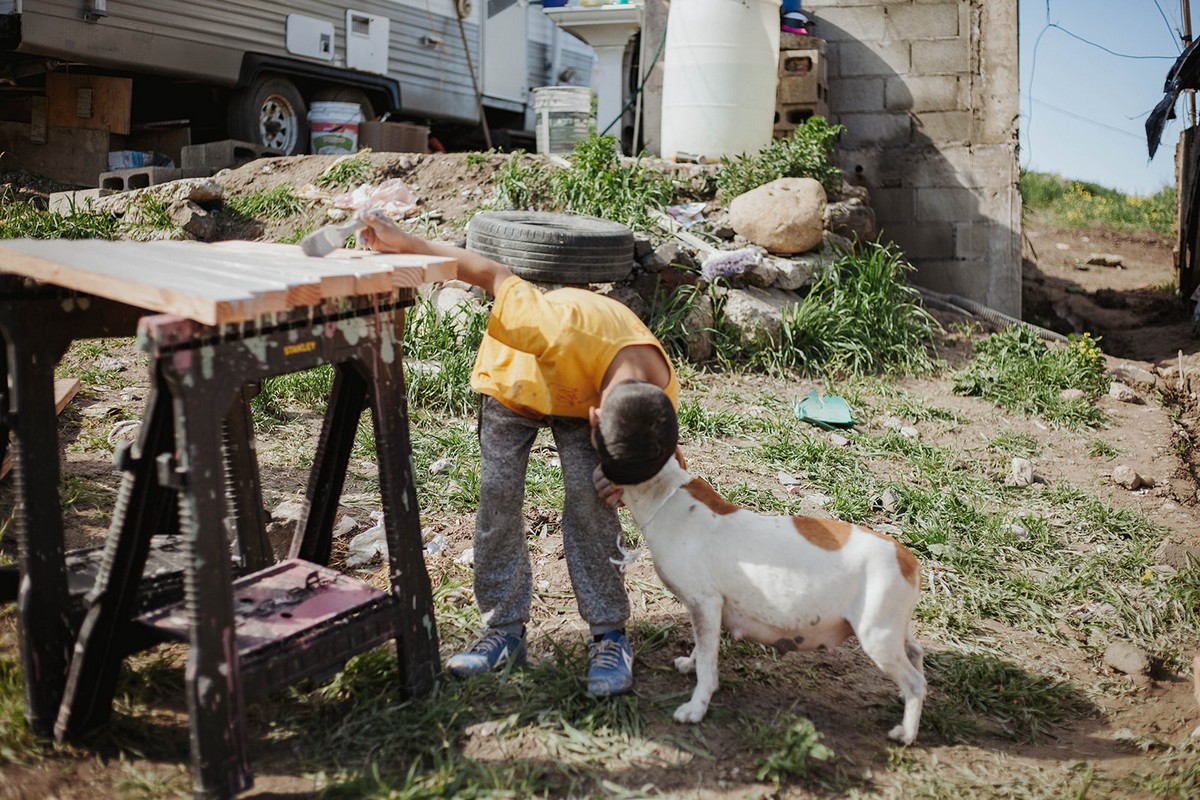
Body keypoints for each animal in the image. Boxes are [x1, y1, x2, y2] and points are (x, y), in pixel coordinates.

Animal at [605, 454, 926, 744]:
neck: (668, 498)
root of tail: (908, 560)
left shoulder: (705, 604)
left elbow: (707, 666)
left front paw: (697, 707)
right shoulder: (708, 613)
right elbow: (703, 649)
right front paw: (690, 664)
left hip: (876, 637)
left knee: (916, 683)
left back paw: (907, 733)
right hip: (891, 632)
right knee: (916, 653)